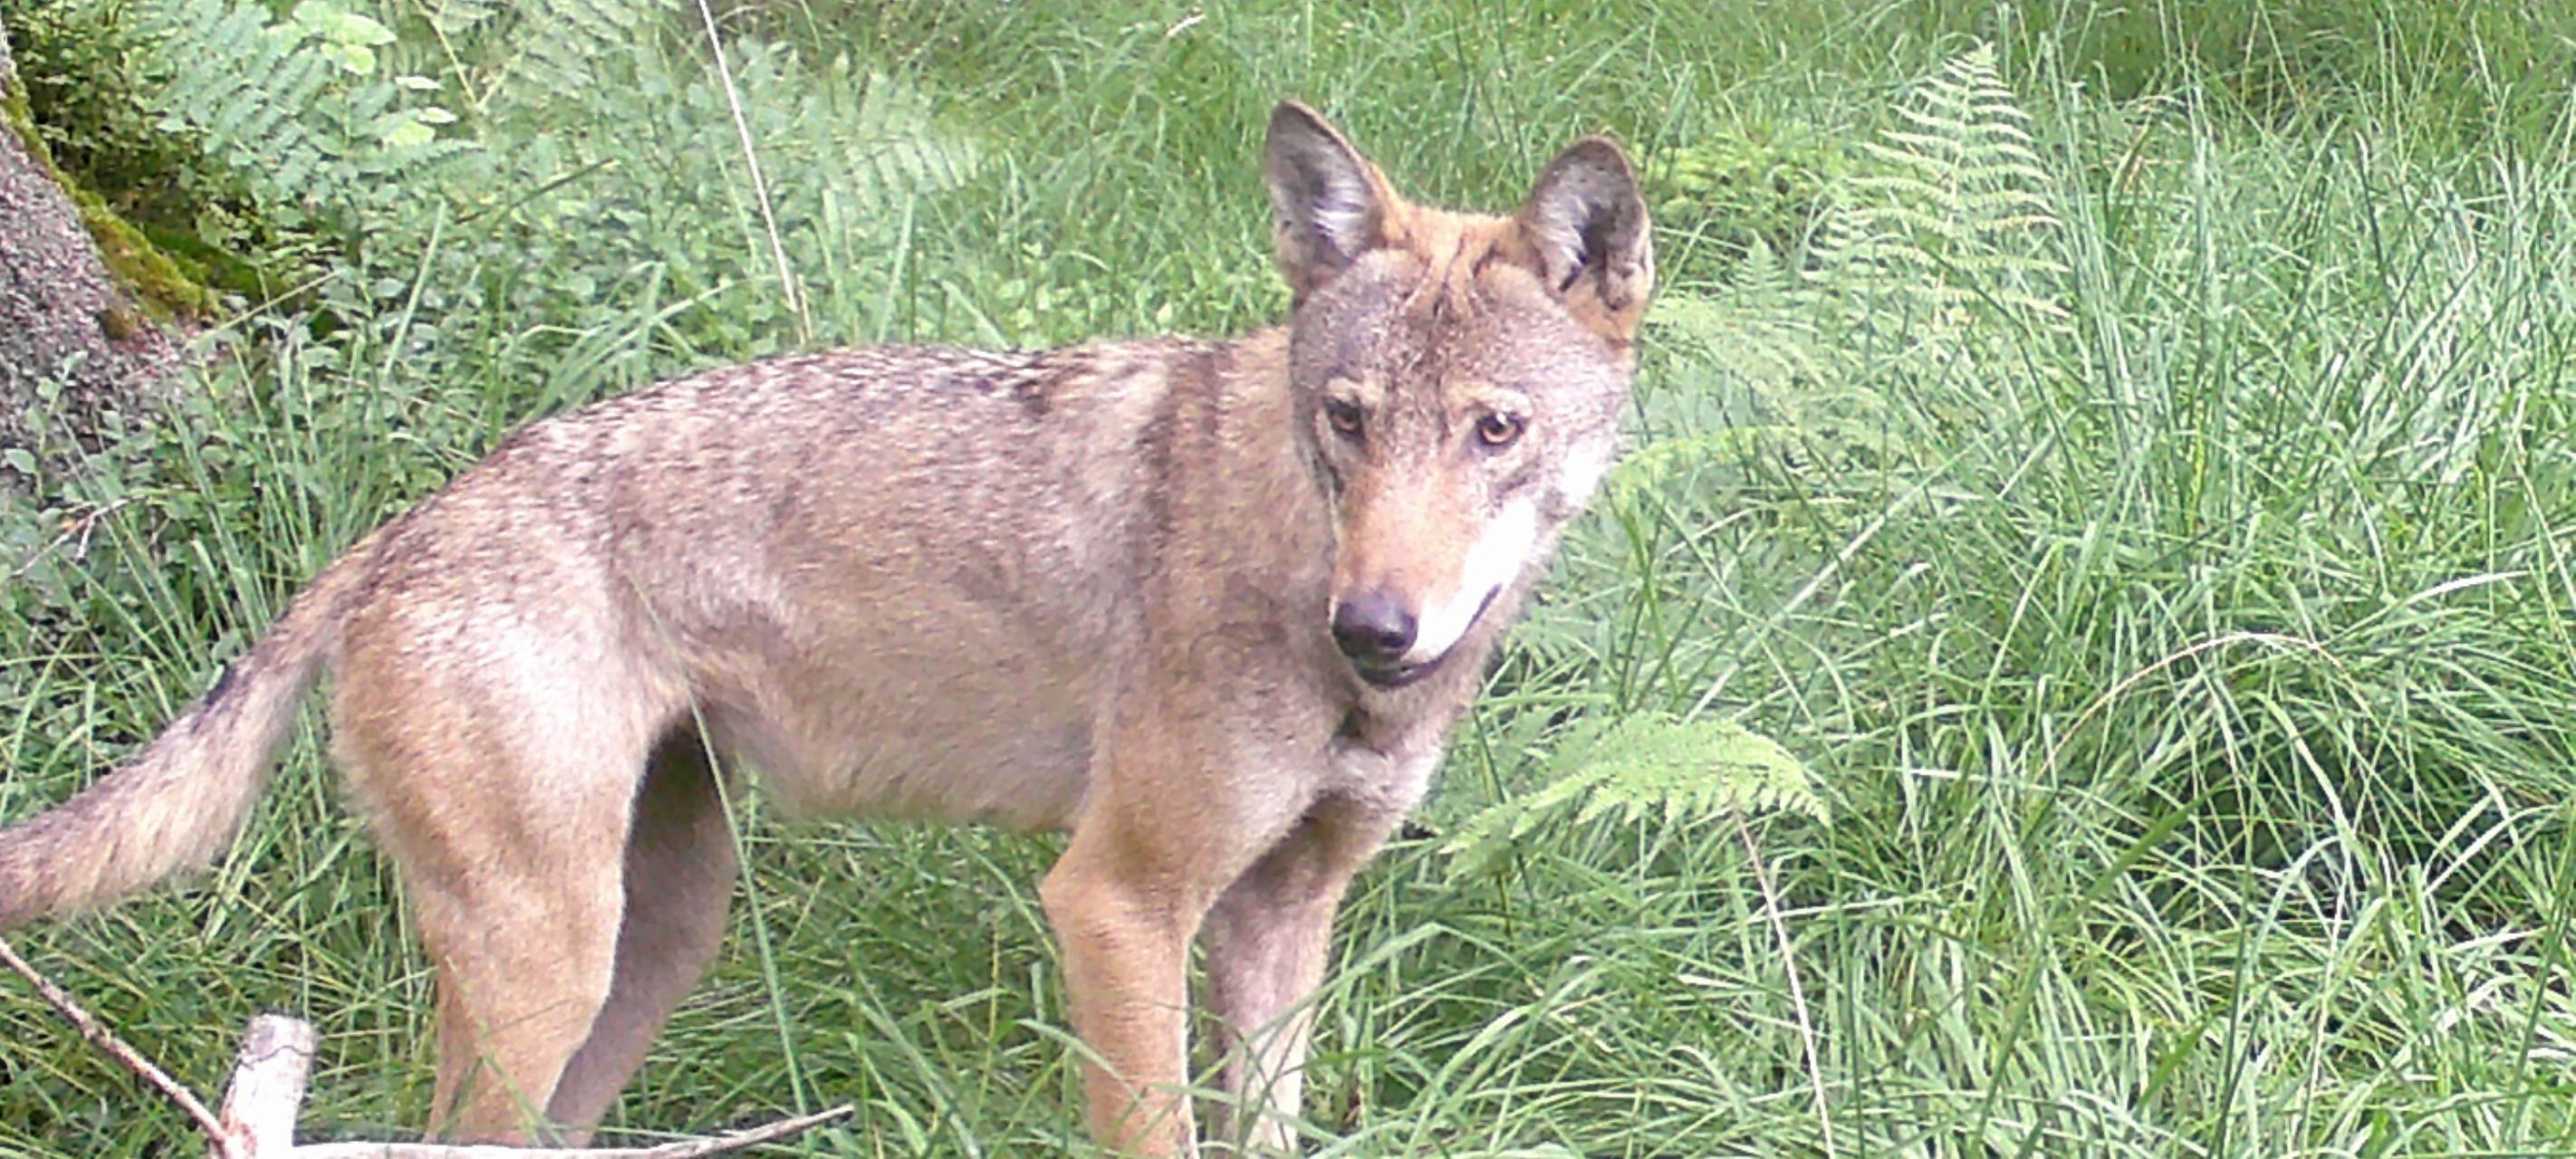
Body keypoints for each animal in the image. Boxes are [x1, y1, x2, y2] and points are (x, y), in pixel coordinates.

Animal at [0, 101, 1652, 1156]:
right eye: (1346, 420)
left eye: (1495, 430)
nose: (1376, 628)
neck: (1294, 561)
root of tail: (407, 526)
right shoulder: (1115, 903)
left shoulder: (1281, 920)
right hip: (551, 961)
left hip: (647, 949)